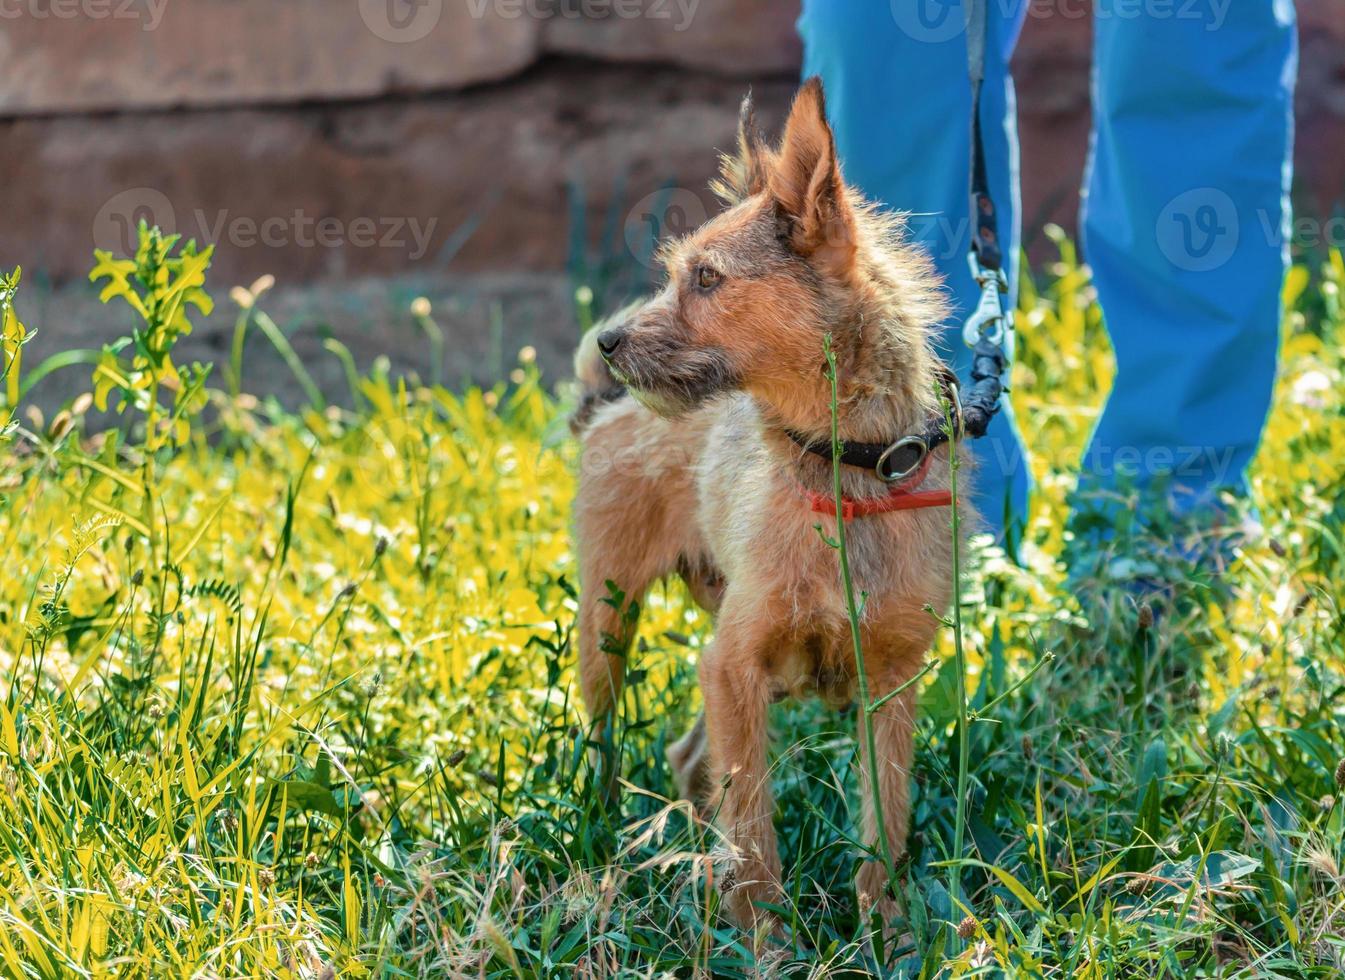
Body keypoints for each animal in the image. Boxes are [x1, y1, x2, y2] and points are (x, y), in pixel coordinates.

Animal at [567, 80, 968, 930]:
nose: (610, 341)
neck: (845, 470)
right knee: (608, 743)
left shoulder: (889, 684)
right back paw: (603, 829)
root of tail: (603, 405)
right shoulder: (733, 665)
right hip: (609, 622)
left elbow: (884, 820)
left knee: (690, 758)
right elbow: (753, 830)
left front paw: (885, 932)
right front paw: (763, 937)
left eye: (707, 279)